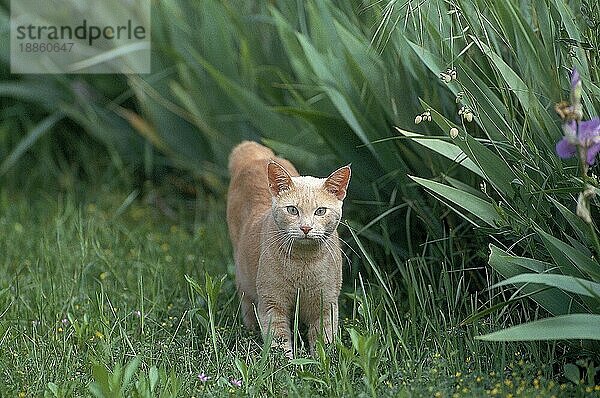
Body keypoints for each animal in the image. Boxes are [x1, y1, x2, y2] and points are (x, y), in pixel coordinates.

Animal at [226, 141, 352, 358]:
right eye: (292, 210)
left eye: (320, 211)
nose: (306, 228)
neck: (303, 264)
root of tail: (256, 155)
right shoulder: (272, 304)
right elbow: (279, 343)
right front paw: (287, 364)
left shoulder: (326, 304)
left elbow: (324, 341)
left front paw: (323, 361)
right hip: (243, 277)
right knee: (247, 303)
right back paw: (249, 331)